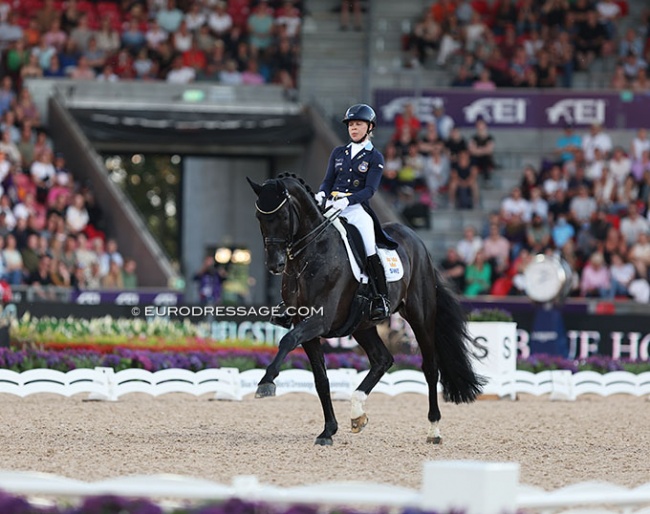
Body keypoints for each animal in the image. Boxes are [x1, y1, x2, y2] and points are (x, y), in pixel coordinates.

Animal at [247, 173, 480, 444]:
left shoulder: (319, 321)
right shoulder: (305, 325)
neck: (312, 253)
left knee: (430, 367)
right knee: (382, 359)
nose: (275, 264)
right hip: (362, 324)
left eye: (283, 216)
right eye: (259, 216)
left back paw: (434, 430)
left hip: (420, 316)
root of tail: (416, 239)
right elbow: (321, 378)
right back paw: (357, 412)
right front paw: (328, 431)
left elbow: (287, 340)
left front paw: (266, 382)